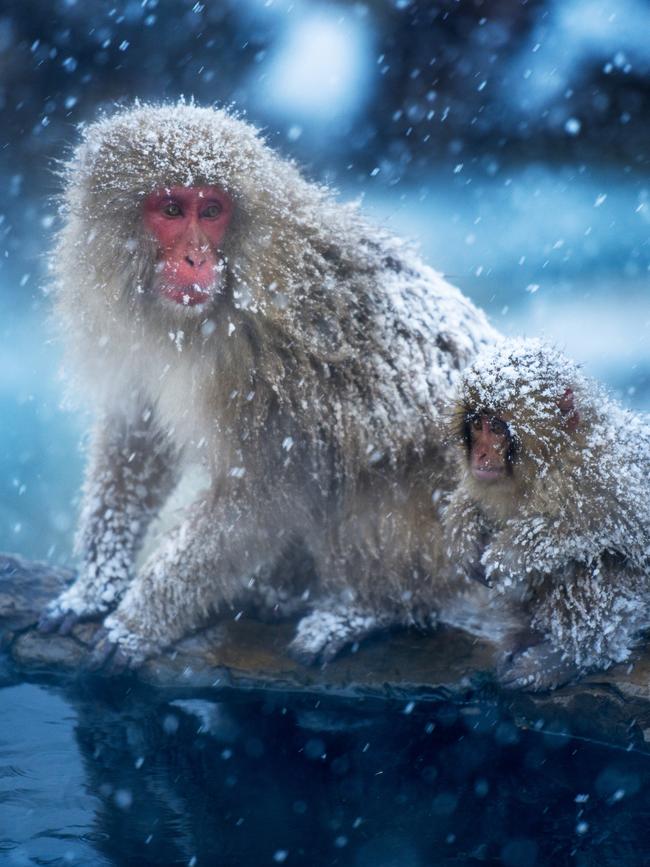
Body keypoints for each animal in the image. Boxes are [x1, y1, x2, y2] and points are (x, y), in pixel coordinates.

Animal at [38, 101, 496, 672]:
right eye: (172, 208)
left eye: (212, 210)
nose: (196, 258)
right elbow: (136, 433)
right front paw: (96, 584)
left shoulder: (270, 370)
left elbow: (263, 496)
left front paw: (140, 621)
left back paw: (370, 608)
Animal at [442, 340, 648, 692]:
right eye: (477, 424)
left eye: (496, 427)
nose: (480, 455)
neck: (550, 460)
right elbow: (475, 502)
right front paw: (462, 529)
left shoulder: (602, 470)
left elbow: (612, 521)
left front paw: (508, 554)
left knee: (591, 564)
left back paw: (566, 658)